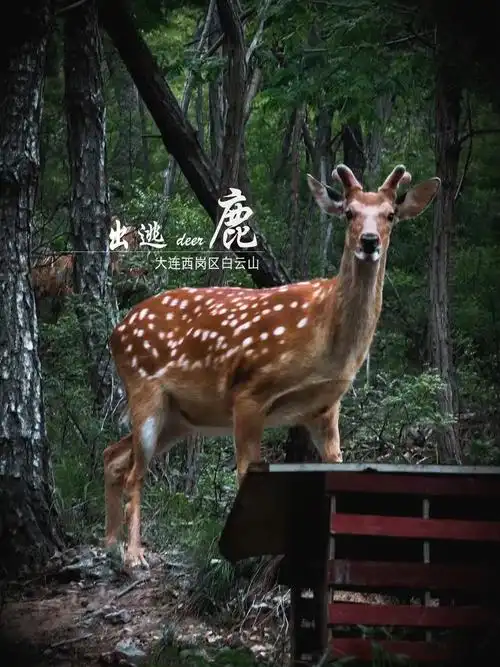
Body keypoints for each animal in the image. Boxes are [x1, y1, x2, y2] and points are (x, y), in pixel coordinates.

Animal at [103, 164, 440, 567]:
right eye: (348, 213)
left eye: (390, 214)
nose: (370, 241)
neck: (327, 339)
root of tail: (116, 333)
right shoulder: (250, 390)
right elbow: (246, 473)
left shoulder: (324, 407)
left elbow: (337, 465)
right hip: (145, 388)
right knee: (135, 472)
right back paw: (133, 554)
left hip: (179, 419)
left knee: (113, 456)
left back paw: (109, 543)